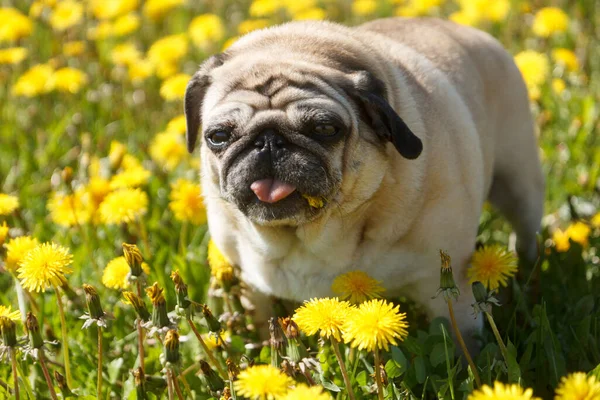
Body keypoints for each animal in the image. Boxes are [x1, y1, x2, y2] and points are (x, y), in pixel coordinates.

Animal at [183, 17, 544, 340]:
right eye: (217, 136)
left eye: (325, 128)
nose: (269, 141)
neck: (310, 239)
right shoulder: (249, 284)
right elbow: (259, 321)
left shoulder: (447, 281)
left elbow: (462, 340)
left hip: (519, 182)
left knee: (526, 226)